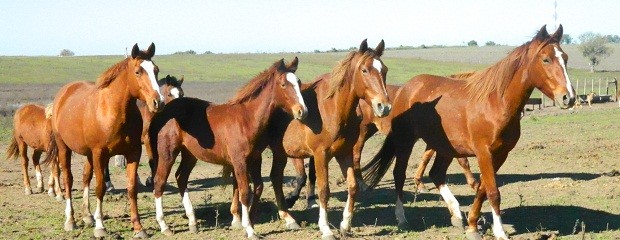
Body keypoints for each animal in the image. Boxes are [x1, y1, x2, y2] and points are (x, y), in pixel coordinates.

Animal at [45, 43, 163, 238]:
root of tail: (63, 93)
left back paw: (87, 216)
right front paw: (100, 226)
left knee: (85, 178)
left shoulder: (133, 153)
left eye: (156, 70)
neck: (113, 111)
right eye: (138, 71)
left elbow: (132, 188)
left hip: (88, 154)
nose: (158, 102)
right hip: (64, 148)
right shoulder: (100, 154)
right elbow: (100, 187)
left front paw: (139, 228)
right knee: (68, 179)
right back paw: (70, 220)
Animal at [148, 56, 308, 238]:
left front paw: (250, 221)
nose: (302, 111)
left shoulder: (255, 159)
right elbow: (245, 192)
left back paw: (192, 222)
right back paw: (164, 226)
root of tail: (165, 111)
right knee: (159, 182)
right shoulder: (239, 161)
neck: (247, 119)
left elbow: (258, 187)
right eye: (283, 84)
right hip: (168, 152)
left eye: (298, 82)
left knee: (181, 177)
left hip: (190, 154)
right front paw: (249, 229)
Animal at [262, 40, 390, 239]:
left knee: (276, 177)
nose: (384, 106)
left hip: (280, 153)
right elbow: (323, 190)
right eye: (364, 70)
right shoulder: (320, 155)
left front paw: (345, 225)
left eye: (384, 70)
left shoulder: (344, 153)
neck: (334, 109)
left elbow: (353, 186)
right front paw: (325, 228)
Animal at [360, 24, 572, 240]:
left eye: (565, 58)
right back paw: (402, 217)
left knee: (436, 174)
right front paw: (500, 232)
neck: (496, 103)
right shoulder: (484, 152)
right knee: (400, 174)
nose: (568, 97)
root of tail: (406, 88)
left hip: (444, 147)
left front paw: (472, 225)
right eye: (546, 59)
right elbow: (493, 193)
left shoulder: (500, 154)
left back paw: (456, 214)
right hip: (406, 141)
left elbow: (482, 189)